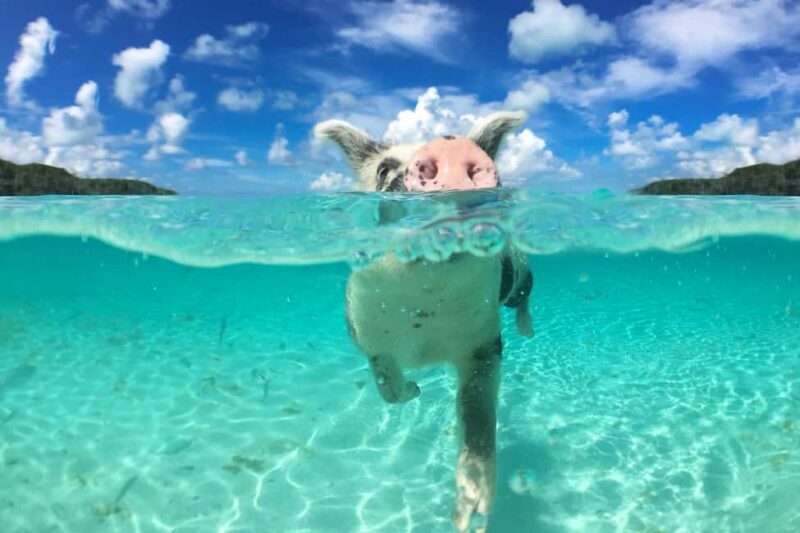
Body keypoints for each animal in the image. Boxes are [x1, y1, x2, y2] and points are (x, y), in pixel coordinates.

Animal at [314, 111, 534, 532]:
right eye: (384, 170)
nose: (450, 147)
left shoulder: (485, 342)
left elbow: (478, 408)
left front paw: (471, 515)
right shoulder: (365, 330)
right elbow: (386, 382)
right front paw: (414, 390)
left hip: (519, 274)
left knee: (523, 298)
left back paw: (527, 329)